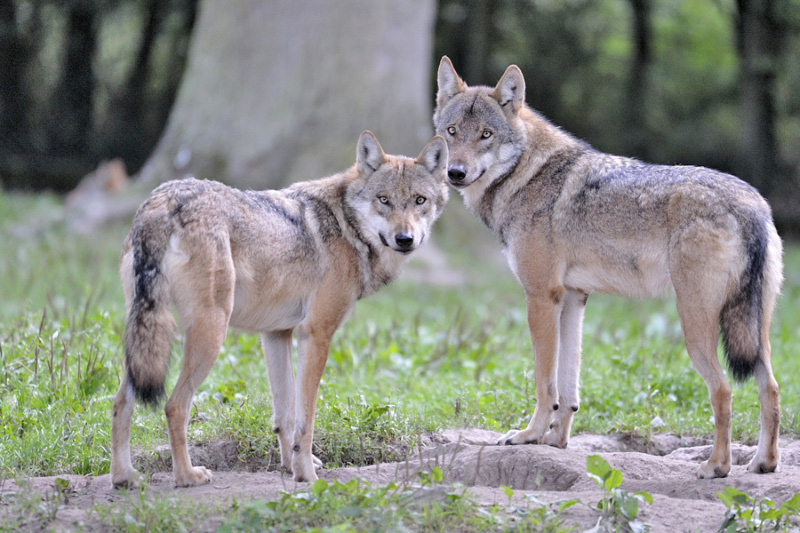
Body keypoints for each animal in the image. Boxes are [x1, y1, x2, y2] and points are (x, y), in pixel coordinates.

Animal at [111, 130, 450, 486]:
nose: (405, 238)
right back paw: (187, 476)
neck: (347, 226)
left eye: (419, 201)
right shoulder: (316, 335)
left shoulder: (276, 334)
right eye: (383, 200)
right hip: (210, 334)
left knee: (120, 401)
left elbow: (285, 417)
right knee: (174, 405)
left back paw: (124, 477)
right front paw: (306, 476)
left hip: (145, 338)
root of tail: (164, 200)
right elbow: (306, 419)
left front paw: (291, 466)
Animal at [434, 57, 784, 478]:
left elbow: (544, 383)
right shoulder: (573, 298)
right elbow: (567, 389)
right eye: (452, 132)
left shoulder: (541, 297)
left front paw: (529, 436)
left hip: (696, 326)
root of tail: (751, 204)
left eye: (485, 135)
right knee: (771, 388)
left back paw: (715, 466)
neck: (528, 174)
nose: (455, 172)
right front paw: (555, 441)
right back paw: (763, 463)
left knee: (724, 390)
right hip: (755, 331)